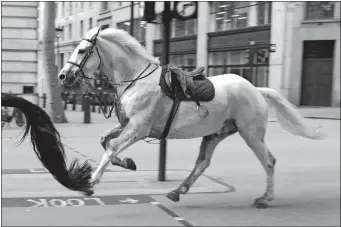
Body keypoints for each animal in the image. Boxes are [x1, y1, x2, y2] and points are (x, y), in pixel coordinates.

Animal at [57, 25, 326, 208]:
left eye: (82, 50)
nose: (62, 76)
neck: (135, 80)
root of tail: (256, 89)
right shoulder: (128, 125)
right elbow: (105, 141)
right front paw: (128, 163)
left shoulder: (138, 128)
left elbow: (111, 148)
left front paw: (89, 183)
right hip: (216, 133)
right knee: (202, 163)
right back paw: (178, 190)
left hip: (251, 133)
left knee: (269, 161)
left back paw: (265, 198)